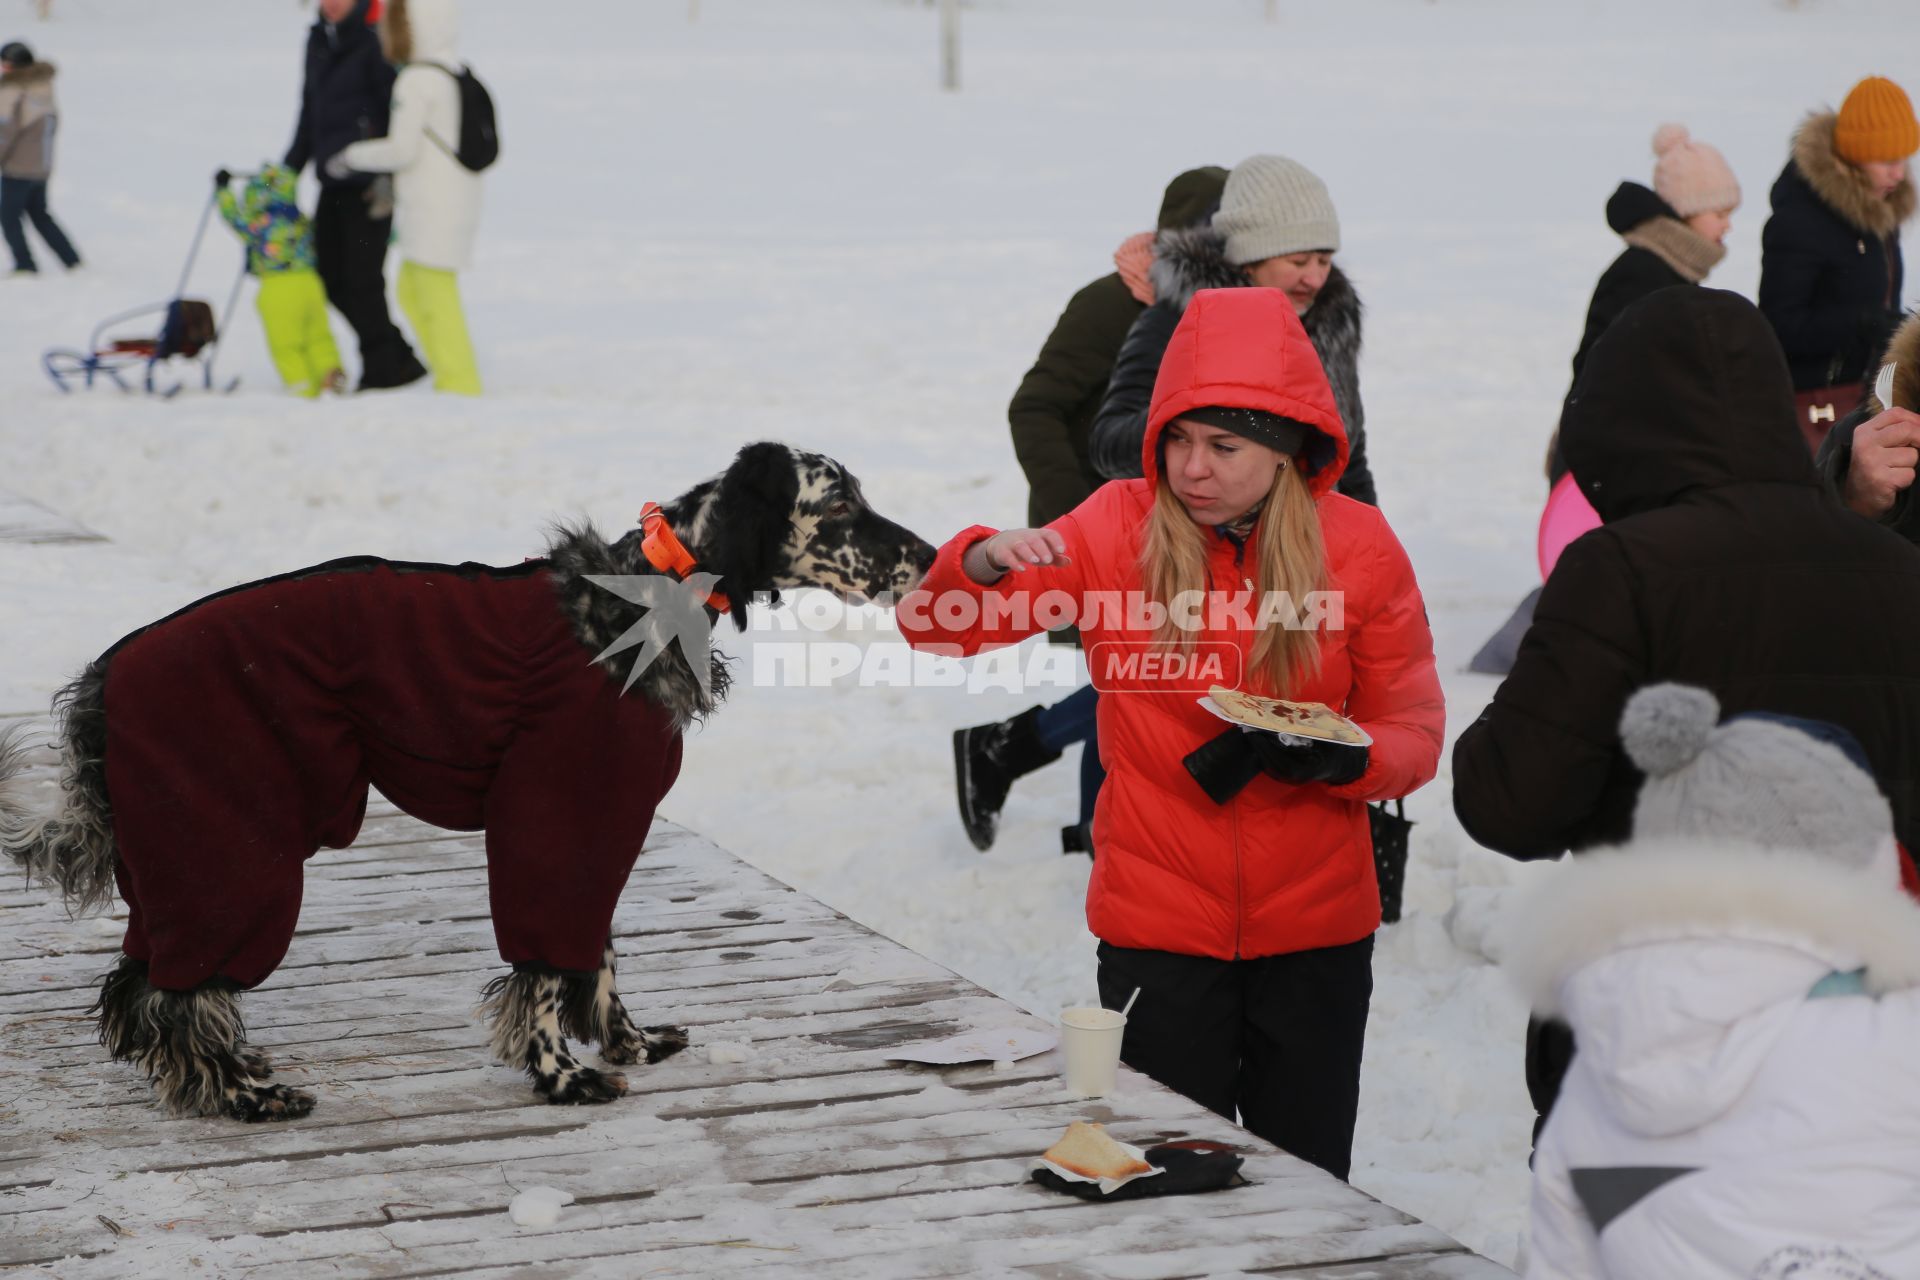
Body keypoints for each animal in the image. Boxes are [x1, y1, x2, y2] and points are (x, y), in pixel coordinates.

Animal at [0, 443, 929, 1120]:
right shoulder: (561, 807)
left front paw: (626, 1044)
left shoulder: (603, 820)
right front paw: (563, 1077)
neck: (643, 602)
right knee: (174, 991)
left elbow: (598, 955)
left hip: (188, 847)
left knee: (141, 988)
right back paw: (244, 1096)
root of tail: (107, 678)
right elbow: (550, 967)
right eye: (837, 504)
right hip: (232, 848)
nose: (925, 555)